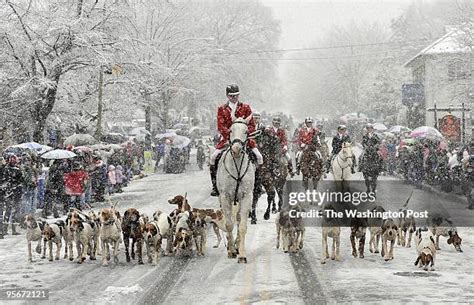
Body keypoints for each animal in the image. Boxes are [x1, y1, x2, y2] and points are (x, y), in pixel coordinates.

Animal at [217, 115, 258, 262]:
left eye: (246, 131)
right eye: (230, 130)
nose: (236, 149)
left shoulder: (246, 196)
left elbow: (242, 226)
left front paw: (242, 254)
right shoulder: (225, 197)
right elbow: (229, 224)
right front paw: (231, 251)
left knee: (239, 218)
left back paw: (237, 244)